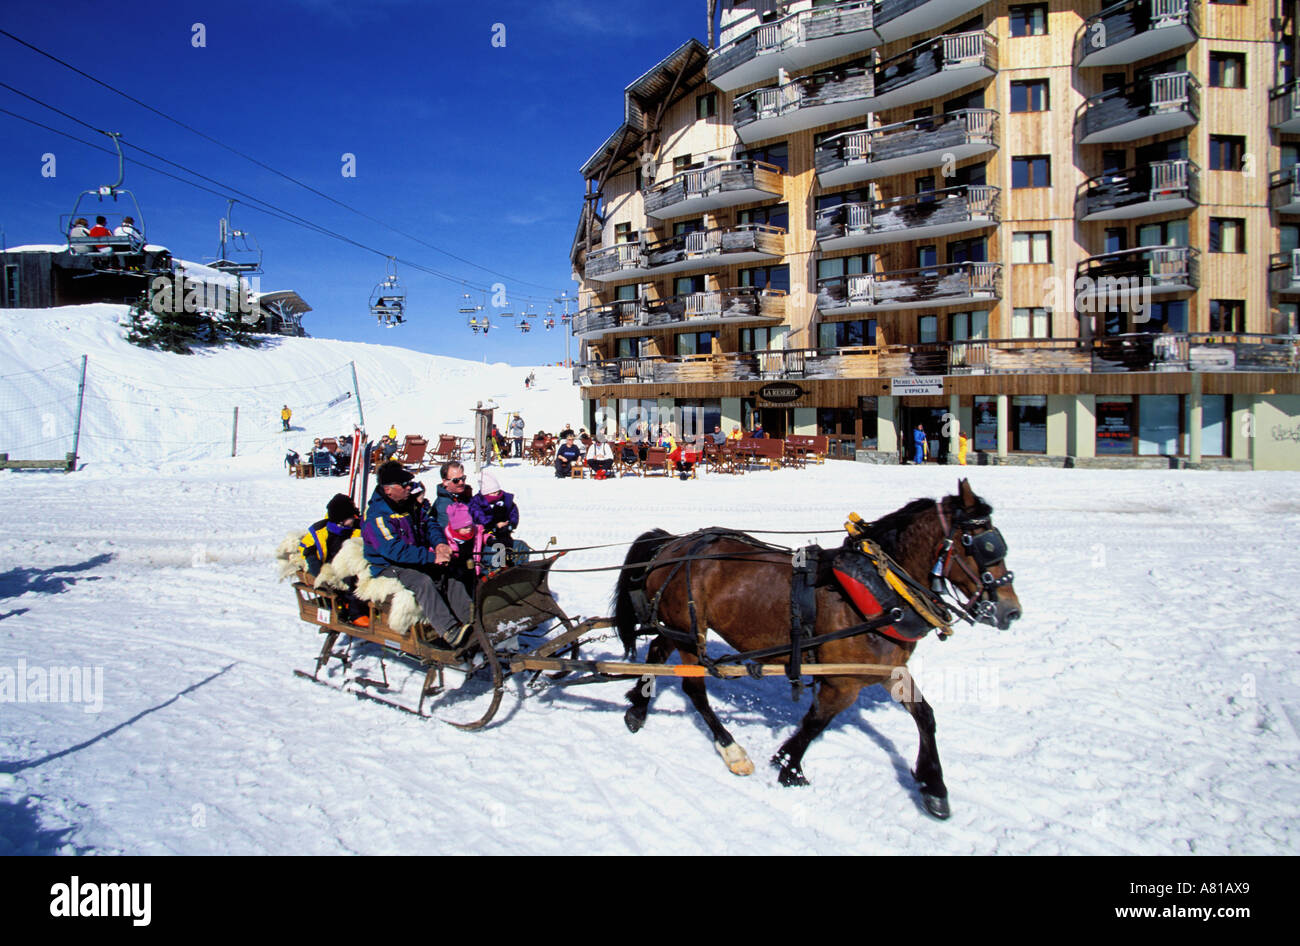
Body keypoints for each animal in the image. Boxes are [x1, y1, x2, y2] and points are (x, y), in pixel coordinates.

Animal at [613, 475, 1019, 816]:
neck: (880, 589)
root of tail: (673, 542)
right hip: (689, 629)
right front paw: (788, 765)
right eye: (980, 544)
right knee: (694, 688)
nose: (1011, 611)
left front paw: (934, 786)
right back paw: (731, 749)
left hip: (675, 627)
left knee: (656, 654)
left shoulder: (886, 670)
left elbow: (925, 716)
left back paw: (638, 707)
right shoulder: (843, 683)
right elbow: (815, 722)